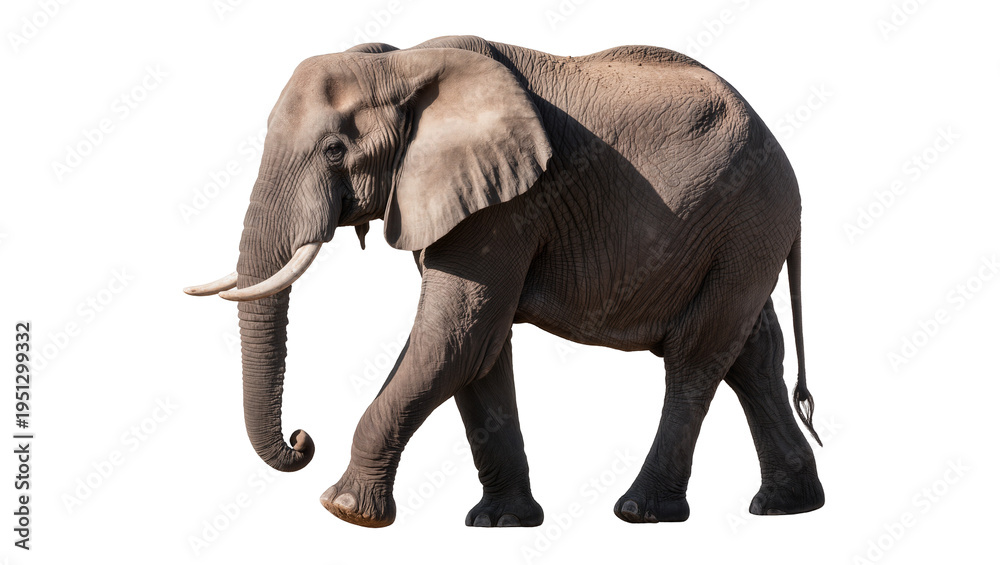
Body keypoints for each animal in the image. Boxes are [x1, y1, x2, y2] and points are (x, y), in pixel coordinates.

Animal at [185, 35, 824, 528]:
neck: (404, 62)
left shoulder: (506, 206)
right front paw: (502, 522)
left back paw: (642, 512)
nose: (301, 440)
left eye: (336, 149)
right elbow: (480, 348)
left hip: (747, 218)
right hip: (742, 235)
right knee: (751, 354)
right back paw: (786, 506)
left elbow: (454, 337)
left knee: (696, 356)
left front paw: (345, 511)